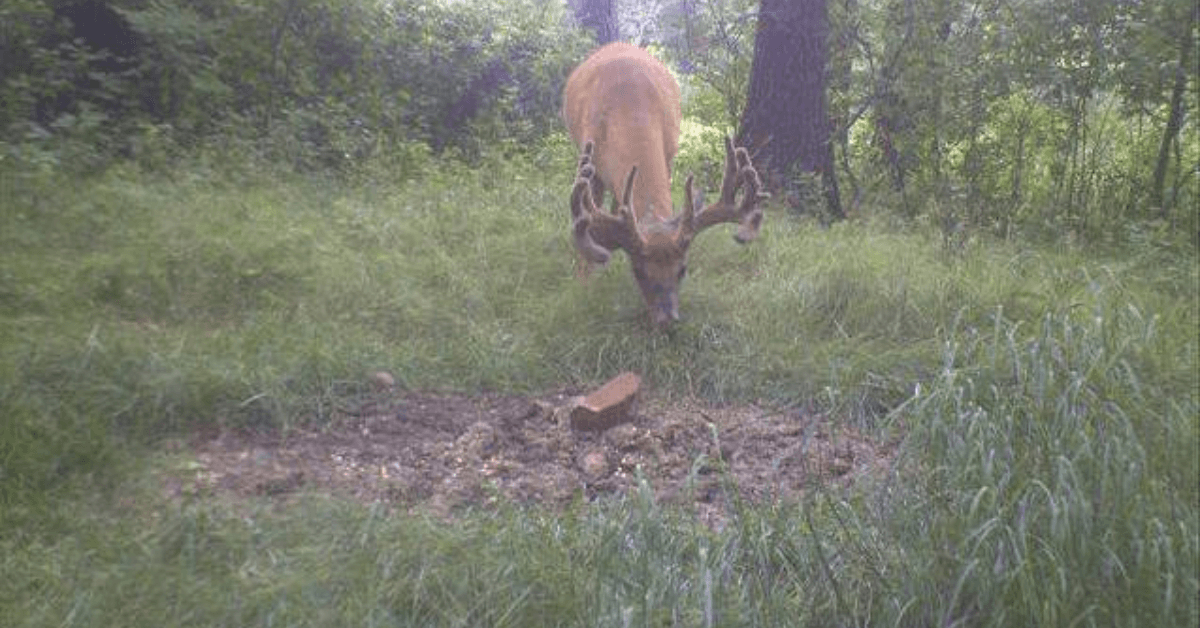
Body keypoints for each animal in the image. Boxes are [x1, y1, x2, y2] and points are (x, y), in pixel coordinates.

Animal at [562, 42, 770, 327]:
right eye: (638, 271)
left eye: (682, 269)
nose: (667, 320)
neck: (630, 107)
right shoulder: (590, 162)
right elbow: (587, 224)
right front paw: (587, 283)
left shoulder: (669, 153)